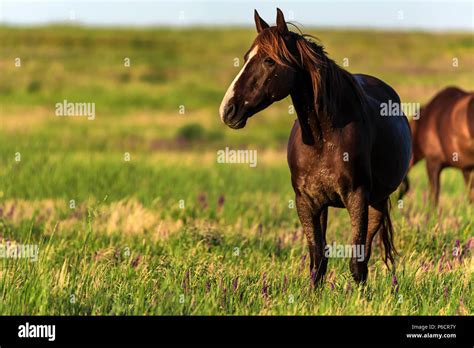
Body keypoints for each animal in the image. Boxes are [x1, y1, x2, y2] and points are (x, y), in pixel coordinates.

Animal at [218, 8, 412, 286]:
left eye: (269, 61)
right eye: (246, 58)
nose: (227, 110)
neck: (323, 138)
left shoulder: (357, 197)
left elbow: (356, 262)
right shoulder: (307, 201)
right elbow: (318, 260)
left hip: (377, 201)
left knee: (366, 251)